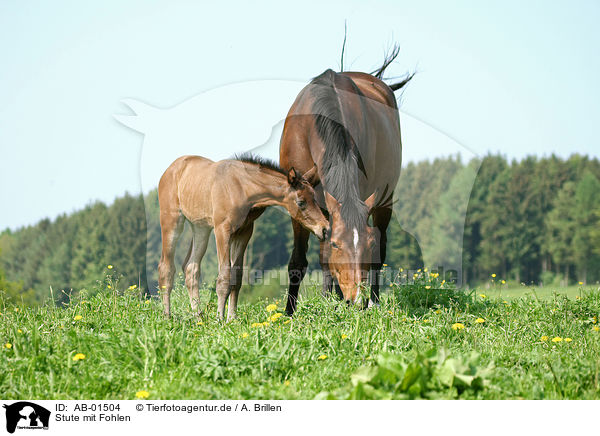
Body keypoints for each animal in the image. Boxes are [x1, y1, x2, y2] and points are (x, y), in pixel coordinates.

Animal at [157, 153, 330, 320]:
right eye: (301, 202)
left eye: (315, 197)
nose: (325, 228)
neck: (242, 188)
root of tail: (170, 169)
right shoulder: (222, 229)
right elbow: (224, 276)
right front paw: (219, 319)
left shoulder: (244, 231)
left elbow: (237, 276)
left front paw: (232, 318)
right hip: (172, 221)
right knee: (166, 267)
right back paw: (167, 316)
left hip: (201, 228)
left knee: (190, 268)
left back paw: (198, 316)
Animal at [280, 49, 412, 314]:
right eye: (337, 244)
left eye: (366, 244)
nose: (357, 299)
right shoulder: (301, 205)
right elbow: (301, 260)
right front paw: (289, 312)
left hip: (385, 201)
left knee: (381, 250)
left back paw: (372, 301)